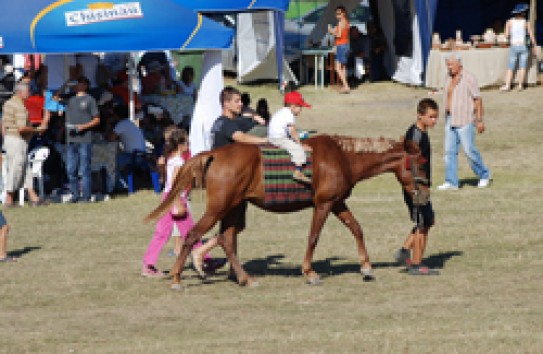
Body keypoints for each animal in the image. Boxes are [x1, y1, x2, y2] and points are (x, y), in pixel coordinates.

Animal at [148, 134, 430, 290]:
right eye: (422, 162)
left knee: (227, 238)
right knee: (193, 234)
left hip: (234, 207)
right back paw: (176, 278)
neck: (343, 156)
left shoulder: (337, 203)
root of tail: (214, 153)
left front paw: (366, 267)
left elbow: (356, 228)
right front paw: (310, 272)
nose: (425, 196)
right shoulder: (324, 204)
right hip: (219, 207)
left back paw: (244, 278)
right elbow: (313, 237)